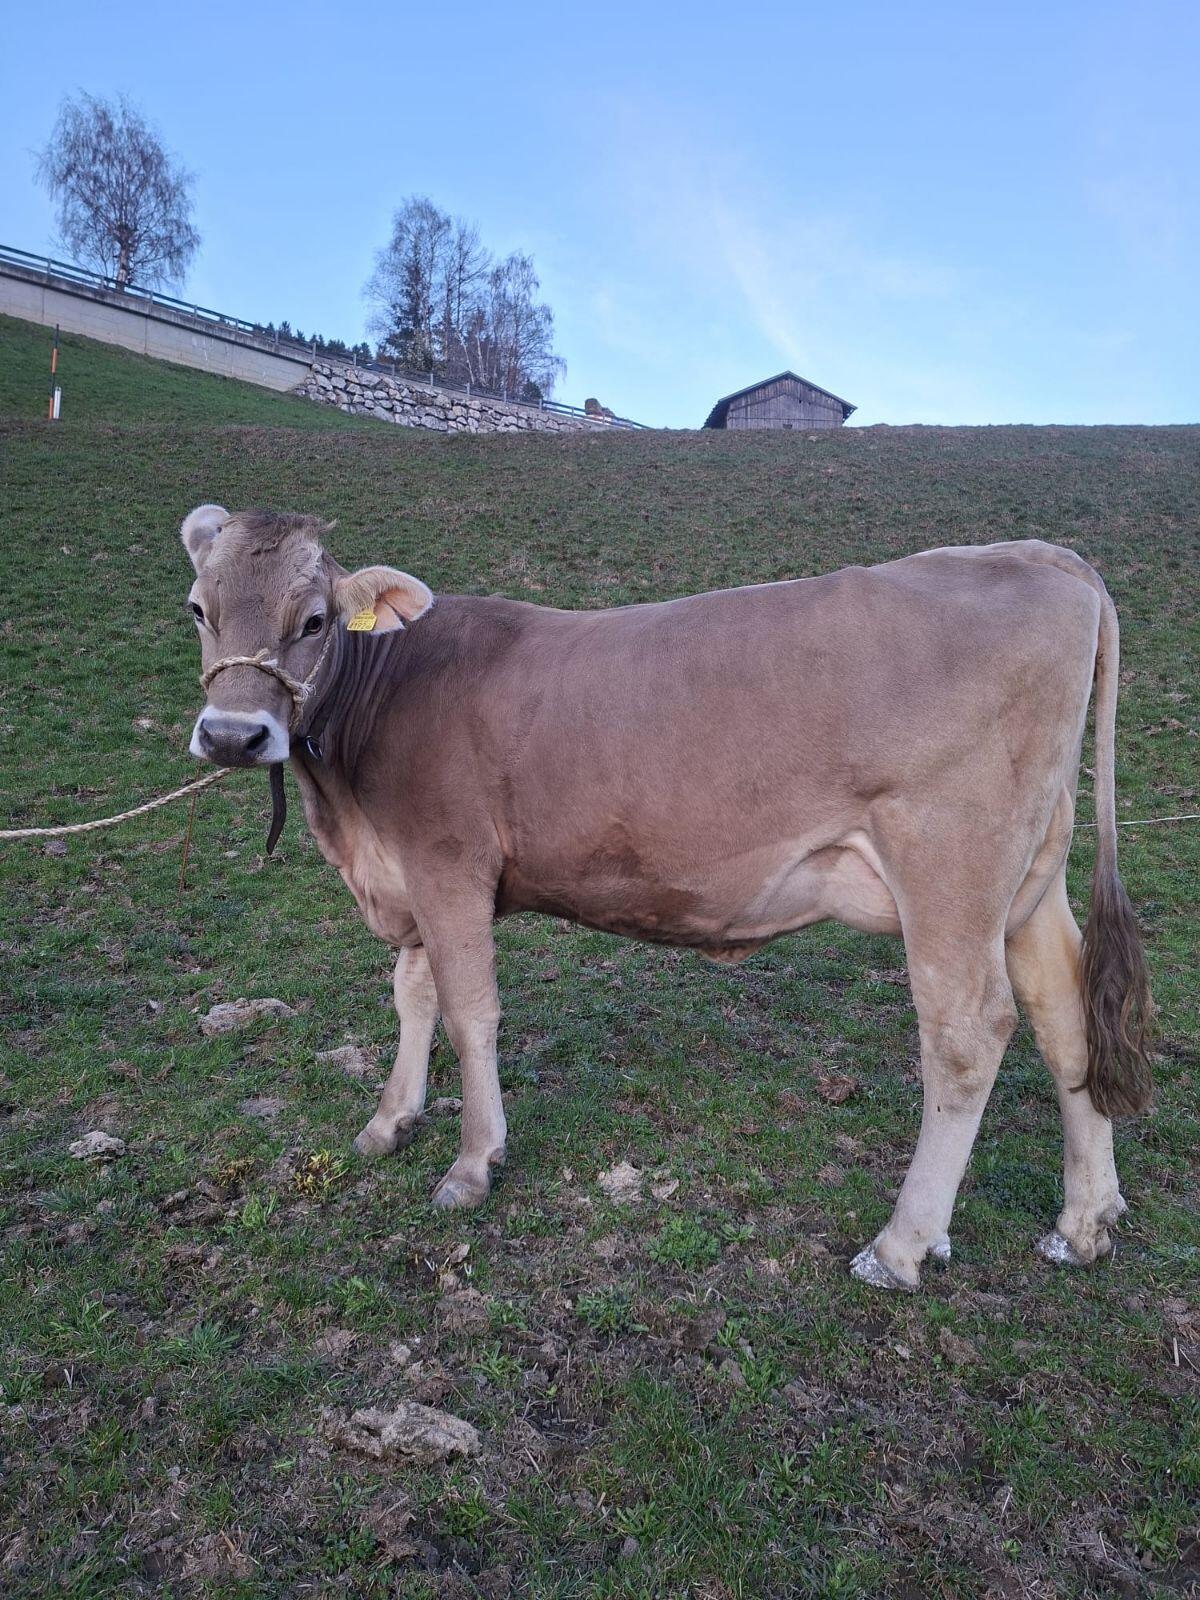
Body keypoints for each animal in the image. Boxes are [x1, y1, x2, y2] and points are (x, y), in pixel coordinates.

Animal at [181, 505, 1153, 1290]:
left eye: (312, 619)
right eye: (197, 608)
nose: (232, 735)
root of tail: (1037, 554)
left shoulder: (447, 863)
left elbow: (468, 1011)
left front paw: (471, 1165)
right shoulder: (408, 876)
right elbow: (411, 996)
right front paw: (389, 1121)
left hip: (951, 861)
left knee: (967, 1032)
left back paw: (902, 1246)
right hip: (1029, 876)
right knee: (1063, 1011)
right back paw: (1084, 1222)